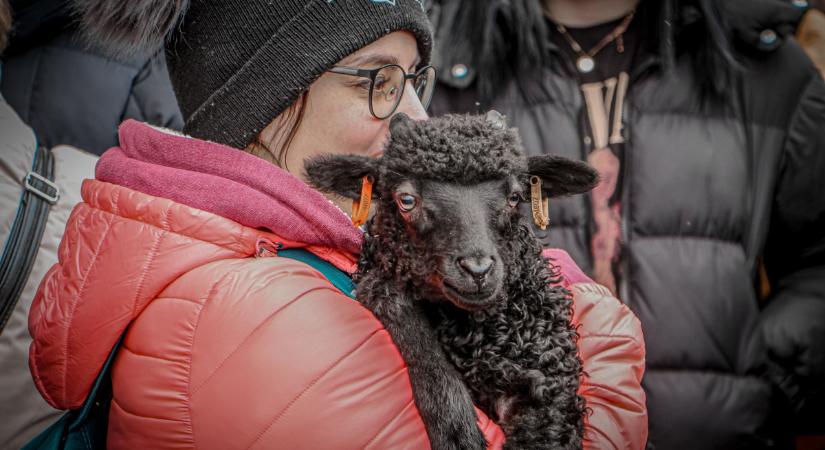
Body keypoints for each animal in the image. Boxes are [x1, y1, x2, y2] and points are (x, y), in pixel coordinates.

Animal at [306, 112, 596, 450]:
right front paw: (455, 427)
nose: (478, 269)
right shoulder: (380, 277)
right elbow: (398, 309)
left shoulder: (547, 383)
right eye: (407, 200)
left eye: (514, 197)